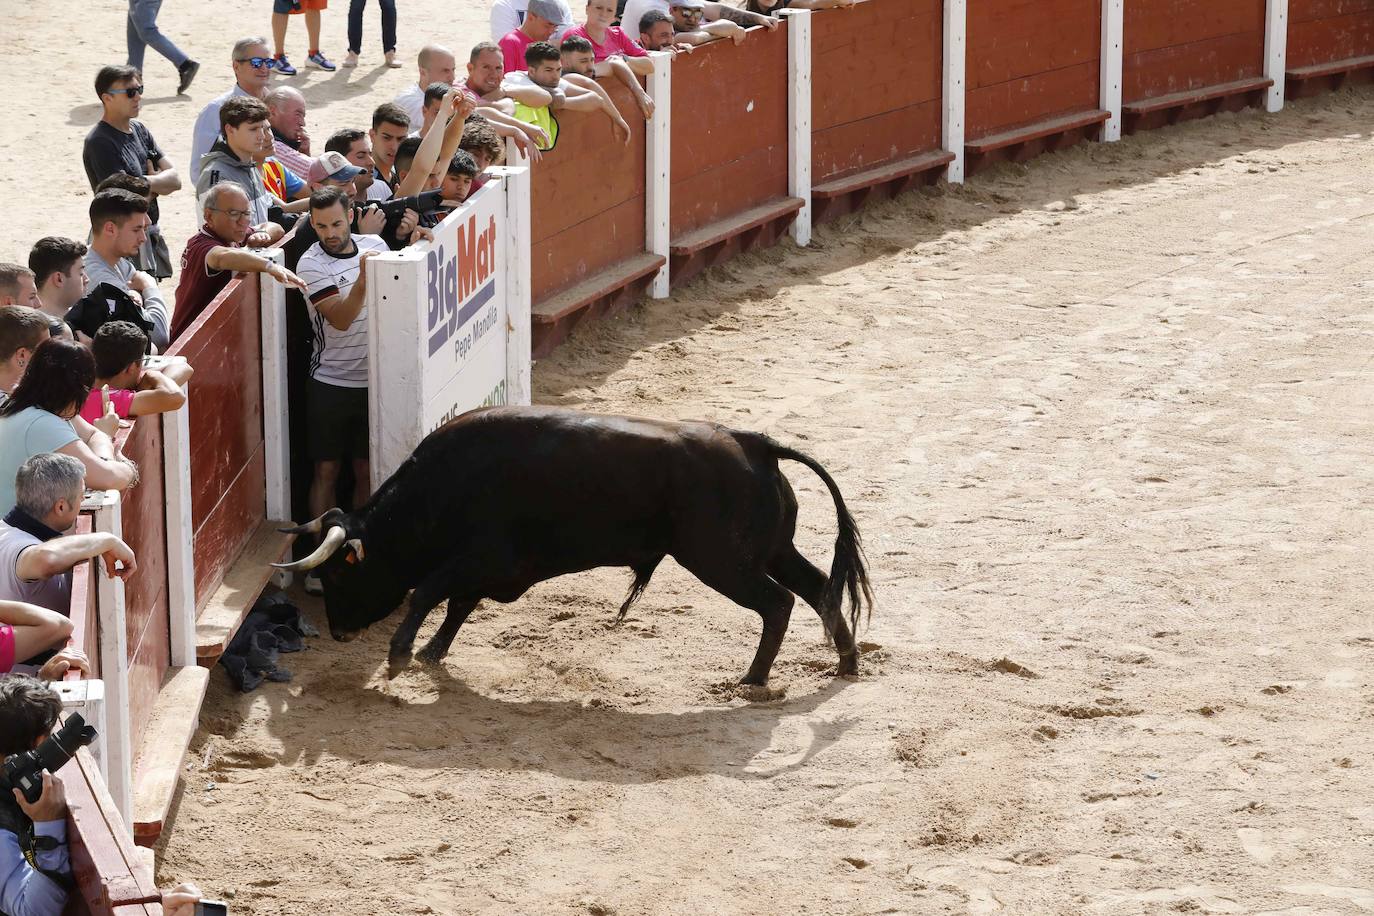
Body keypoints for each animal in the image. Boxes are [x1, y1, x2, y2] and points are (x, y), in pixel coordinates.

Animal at [274, 403, 873, 683]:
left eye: (338, 573)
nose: (339, 632)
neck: (439, 487)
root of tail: (755, 444)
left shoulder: (484, 557)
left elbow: (429, 591)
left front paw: (400, 655)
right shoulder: (487, 568)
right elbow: (457, 604)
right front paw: (430, 652)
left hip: (722, 562)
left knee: (779, 602)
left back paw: (752, 678)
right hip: (770, 551)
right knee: (818, 587)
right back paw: (845, 661)